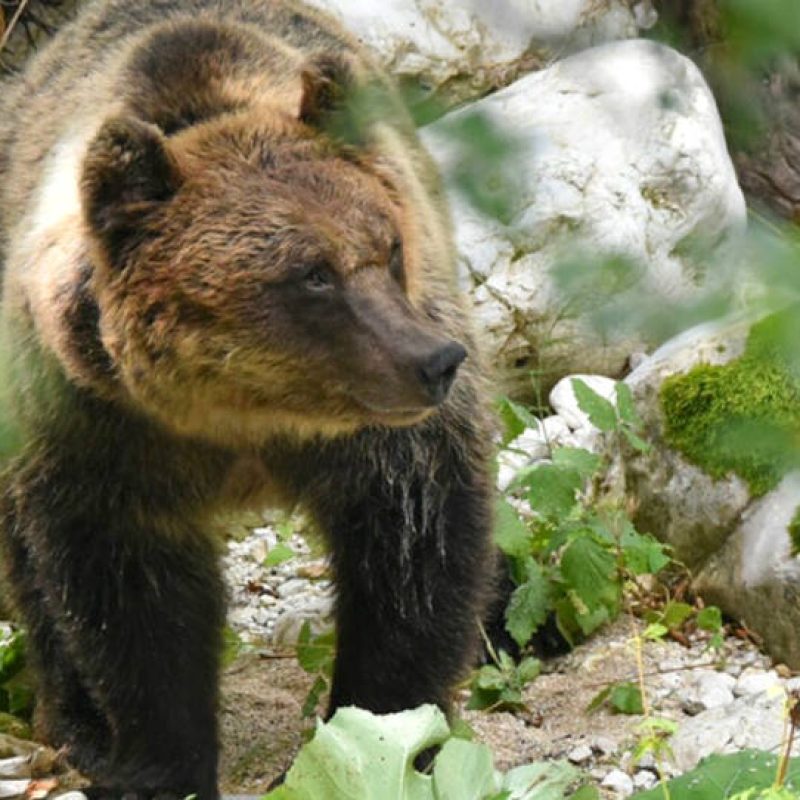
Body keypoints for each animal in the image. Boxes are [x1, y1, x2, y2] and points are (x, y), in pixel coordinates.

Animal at [0, 1, 496, 800]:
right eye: (313, 275)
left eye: (387, 247)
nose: (434, 361)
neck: (248, 413)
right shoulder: (100, 426)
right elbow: (128, 598)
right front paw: (158, 764)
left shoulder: (381, 438)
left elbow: (415, 544)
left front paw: (386, 732)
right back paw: (76, 727)